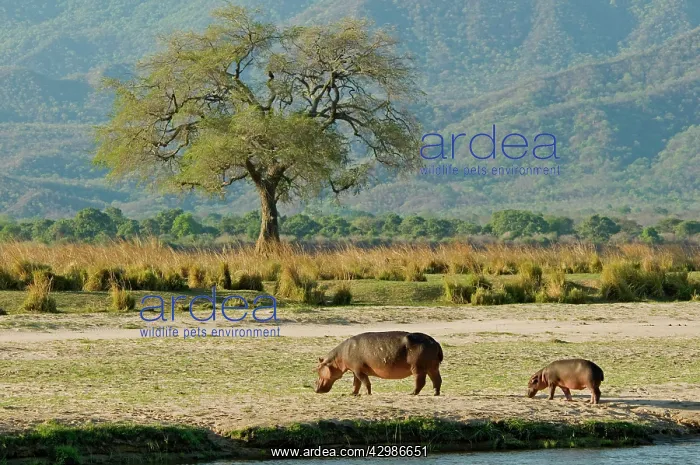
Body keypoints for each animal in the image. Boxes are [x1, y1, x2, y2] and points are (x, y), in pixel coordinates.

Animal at [315, 331, 443, 396]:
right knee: (437, 380)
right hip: (433, 367)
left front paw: (367, 393)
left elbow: (365, 382)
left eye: (317, 368)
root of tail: (435, 342)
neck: (336, 359)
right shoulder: (355, 371)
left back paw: (412, 393)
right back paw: (435, 393)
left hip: (417, 368)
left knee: (420, 381)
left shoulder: (358, 370)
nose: (315, 389)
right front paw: (353, 394)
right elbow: (356, 383)